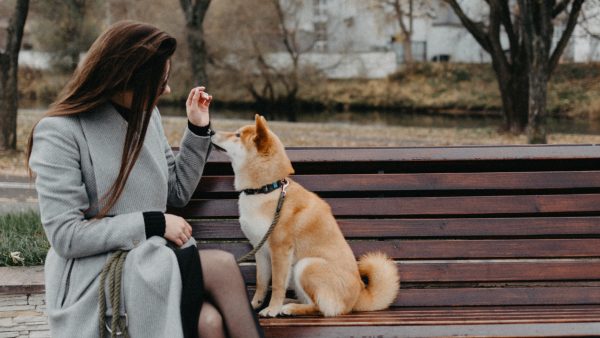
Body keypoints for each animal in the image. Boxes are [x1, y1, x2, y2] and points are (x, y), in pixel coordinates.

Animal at [211, 115, 398, 316]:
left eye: (237, 135)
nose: (211, 131)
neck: (268, 189)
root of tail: (358, 297)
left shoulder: (280, 249)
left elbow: (277, 284)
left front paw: (272, 309)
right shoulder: (259, 249)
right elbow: (262, 283)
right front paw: (254, 305)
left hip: (306, 266)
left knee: (320, 307)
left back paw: (289, 308)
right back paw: (288, 302)